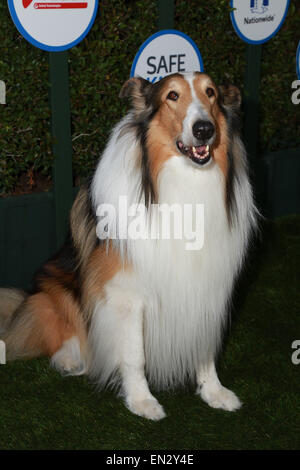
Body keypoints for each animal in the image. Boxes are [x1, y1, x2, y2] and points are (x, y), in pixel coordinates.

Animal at [0, 74, 258, 422]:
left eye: (211, 93)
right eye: (172, 96)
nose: (204, 129)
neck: (183, 182)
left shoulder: (208, 288)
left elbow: (204, 346)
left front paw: (213, 391)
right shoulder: (126, 293)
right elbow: (135, 355)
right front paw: (141, 401)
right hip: (55, 286)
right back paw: (70, 357)